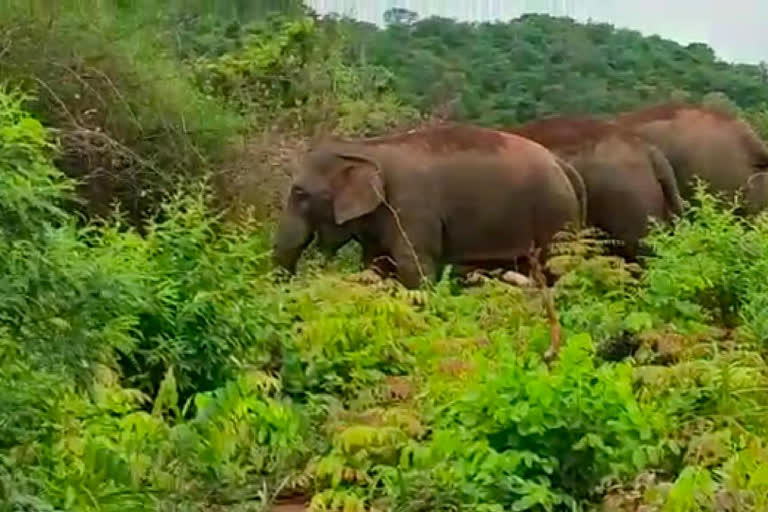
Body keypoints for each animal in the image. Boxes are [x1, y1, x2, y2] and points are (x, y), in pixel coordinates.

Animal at [272, 122, 588, 286]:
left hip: (555, 214)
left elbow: (415, 266)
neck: (365, 147)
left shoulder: (412, 208)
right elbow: (375, 264)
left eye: (299, 193)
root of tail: (563, 165)